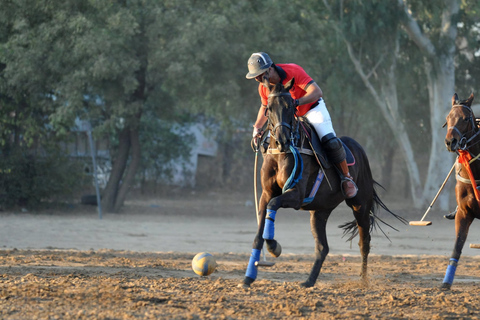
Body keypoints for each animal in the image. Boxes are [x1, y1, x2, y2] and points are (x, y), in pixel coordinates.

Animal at [244, 78, 404, 288]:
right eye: (268, 108)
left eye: (290, 106)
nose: (282, 141)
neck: (281, 154)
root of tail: (360, 149)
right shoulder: (266, 193)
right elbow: (259, 233)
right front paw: (248, 277)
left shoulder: (296, 194)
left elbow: (273, 205)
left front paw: (274, 246)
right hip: (320, 211)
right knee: (323, 247)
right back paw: (309, 281)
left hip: (360, 204)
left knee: (364, 241)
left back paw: (363, 280)